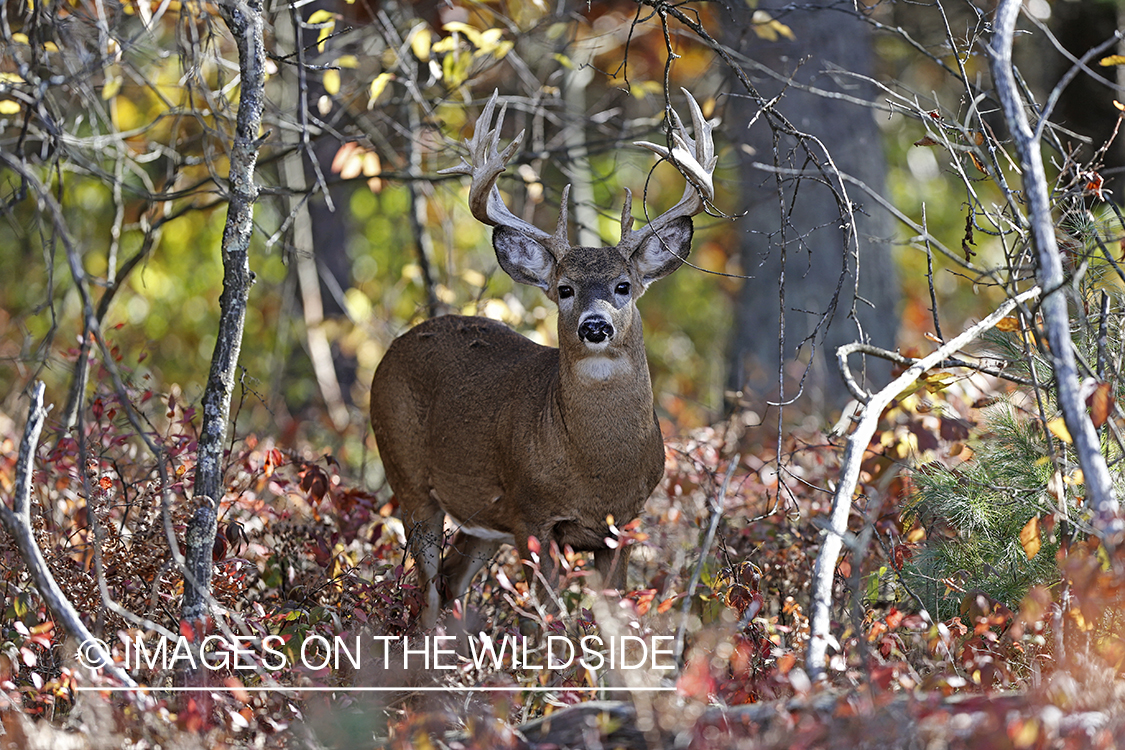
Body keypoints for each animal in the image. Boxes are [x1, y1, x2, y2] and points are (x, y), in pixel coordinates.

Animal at [373, 89, 715, 629]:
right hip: (408, 476)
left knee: (451, 583)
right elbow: (545, 620)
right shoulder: (533, 514)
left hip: (482, 520)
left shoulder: (623, 525)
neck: (598, 470)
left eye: (624, 286)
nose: (594, 326)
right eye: (564, 289)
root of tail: (395, 345)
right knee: (426, 592)